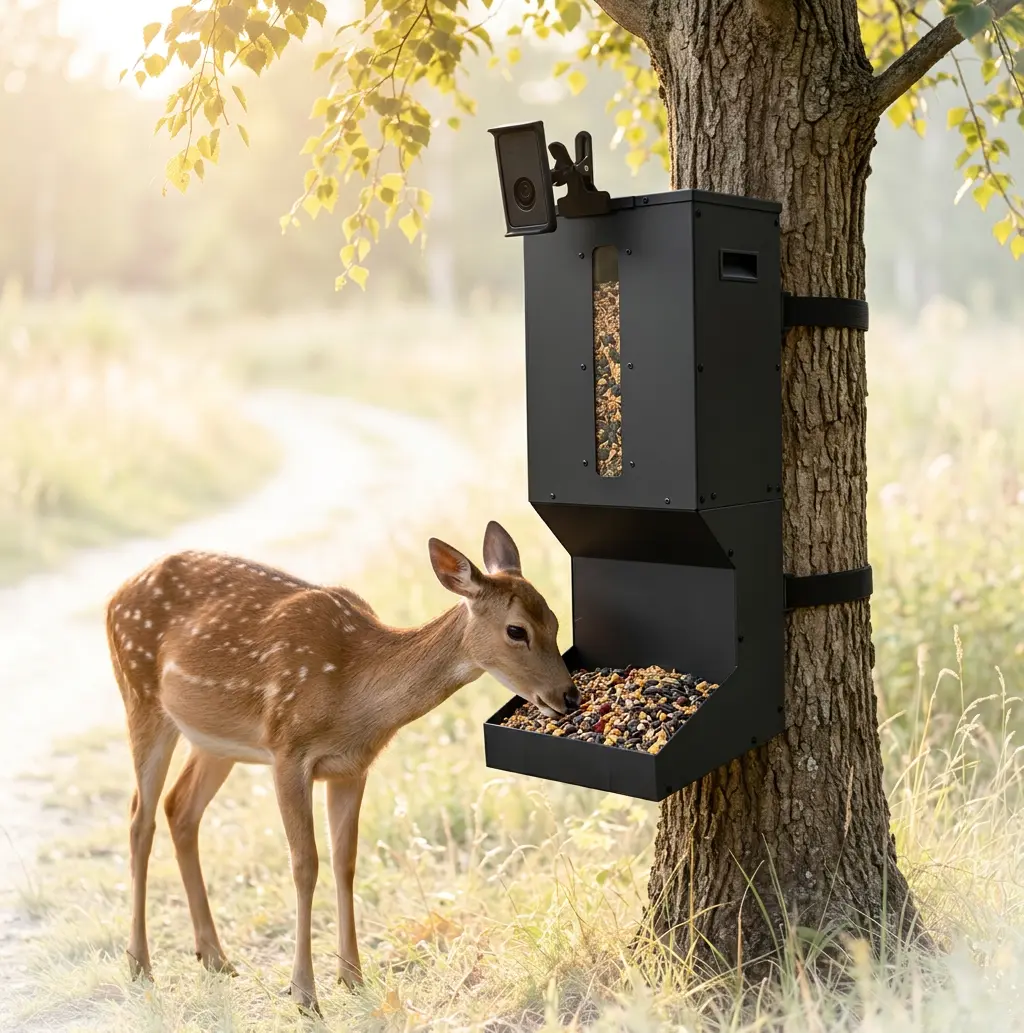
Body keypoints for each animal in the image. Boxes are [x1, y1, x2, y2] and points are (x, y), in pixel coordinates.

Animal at [105, 520, 578, 1015]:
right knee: (139, 818)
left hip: (214, 740)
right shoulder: (287, 751)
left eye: (555, 620)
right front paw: (304, 995)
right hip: (140, 695)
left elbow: (345, 861)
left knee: (179, 808)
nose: (568, 696)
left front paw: (352, 977)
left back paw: (215, 957)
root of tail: (116, 595)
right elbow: (304, 864)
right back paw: (140, 964)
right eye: (516, 630)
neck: (352, 692)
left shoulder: (352, 766)